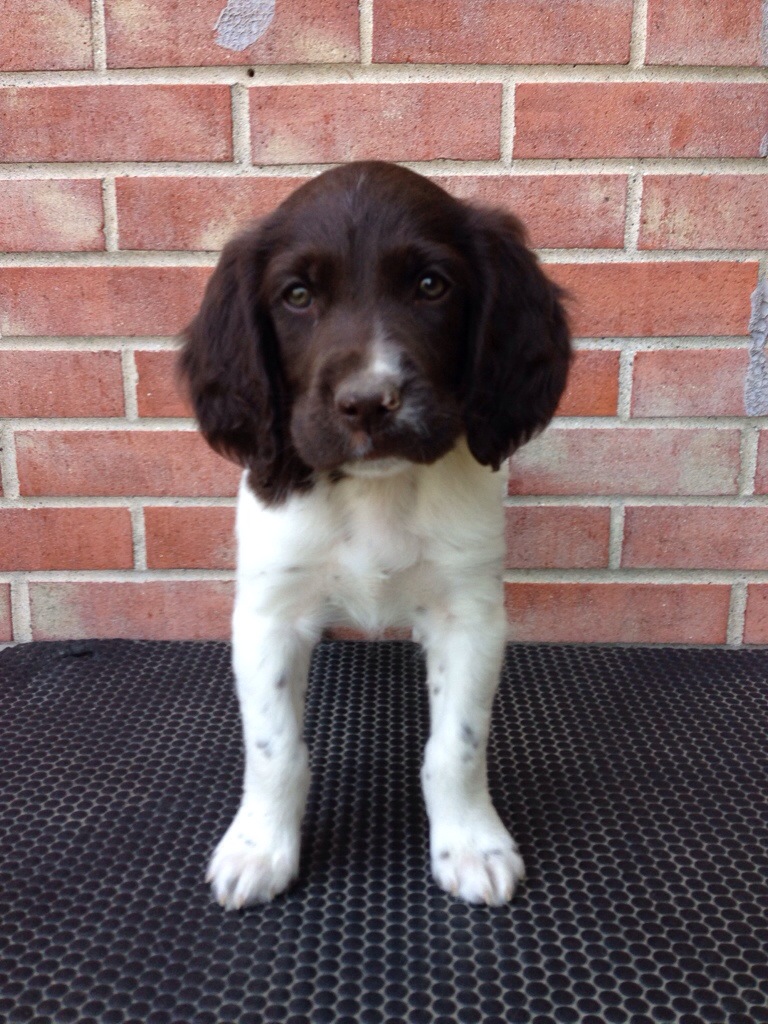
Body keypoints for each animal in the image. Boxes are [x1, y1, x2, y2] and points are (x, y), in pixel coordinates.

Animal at [179, 161, 571, 908]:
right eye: (298, 295)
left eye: (431, 285)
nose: (368, 403)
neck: (375, 491)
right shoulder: (269, 614)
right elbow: (276, 750)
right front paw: (259, 847)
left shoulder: (470, 614)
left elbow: (457, 746)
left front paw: (470, 844)